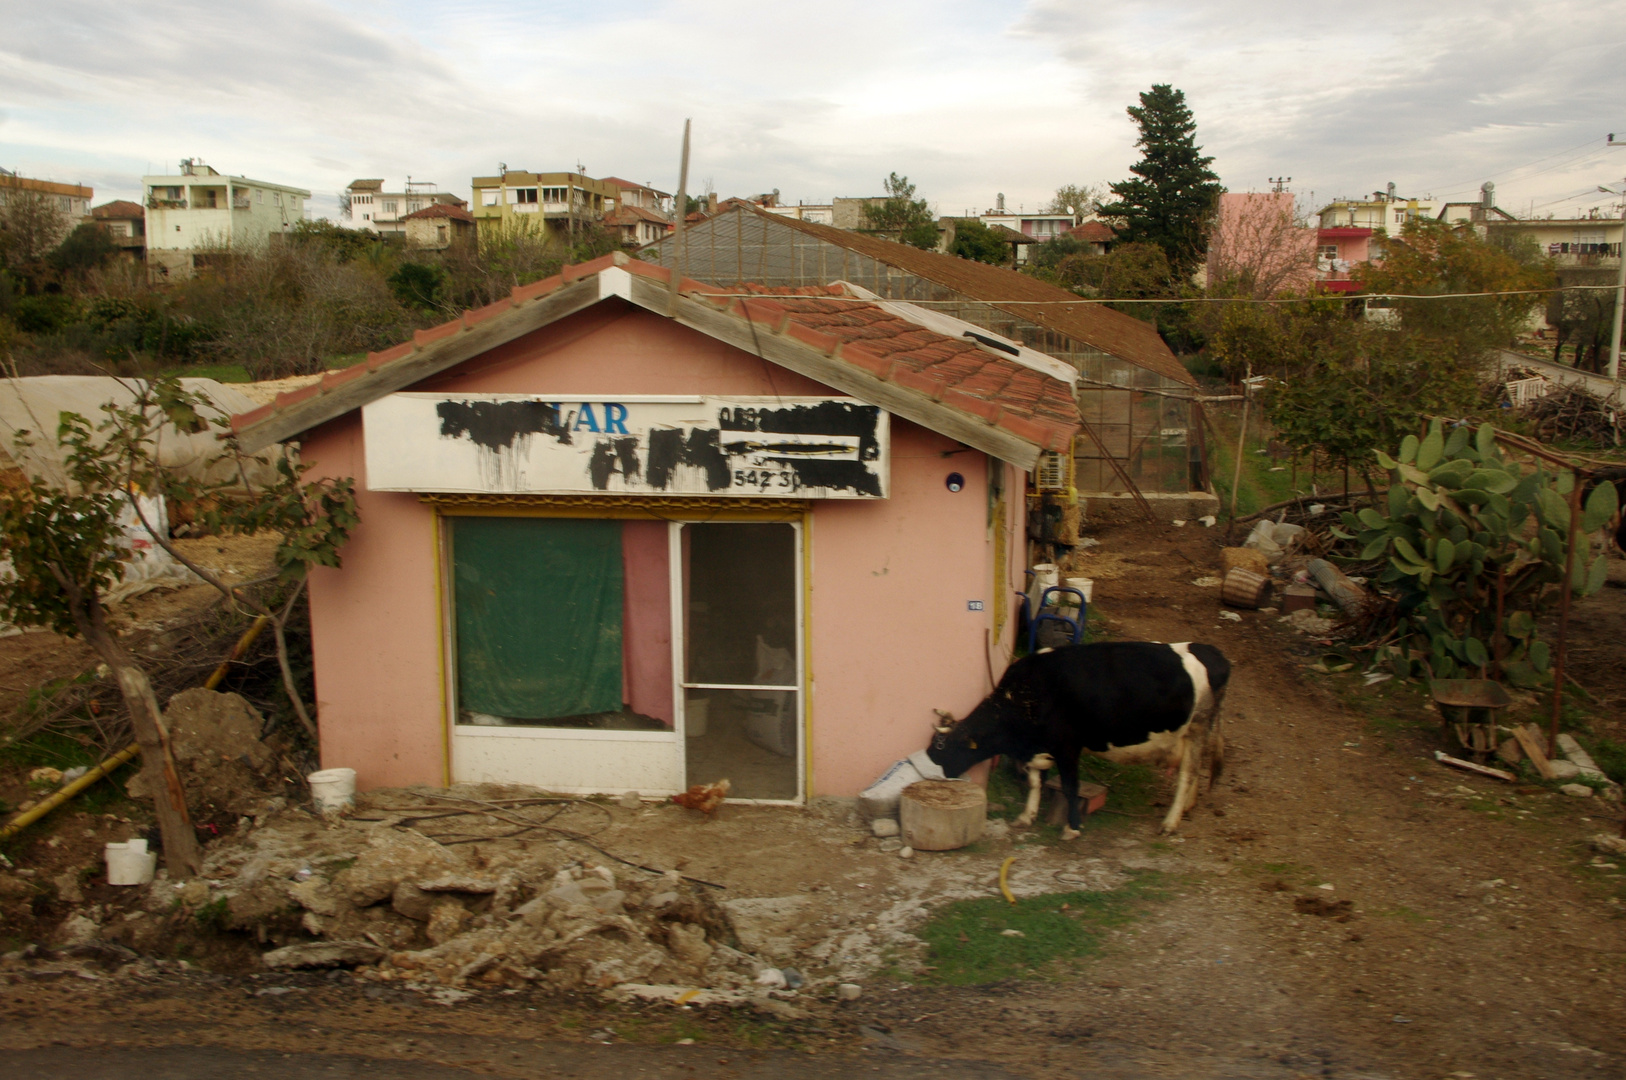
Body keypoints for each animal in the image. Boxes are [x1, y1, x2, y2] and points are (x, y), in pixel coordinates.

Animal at [930, 640, 1229, 832]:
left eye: (948, 749)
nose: (937, 772)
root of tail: (1211, 652)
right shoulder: (1038, 746)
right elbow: (1035, 782)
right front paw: (1027, 816)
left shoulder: (1067, 746)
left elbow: (1070, 785)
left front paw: (1072, 827)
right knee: (1193, 772)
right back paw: (1187, 808)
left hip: (1197, 727)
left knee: (1188, 774)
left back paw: (1170, 822)